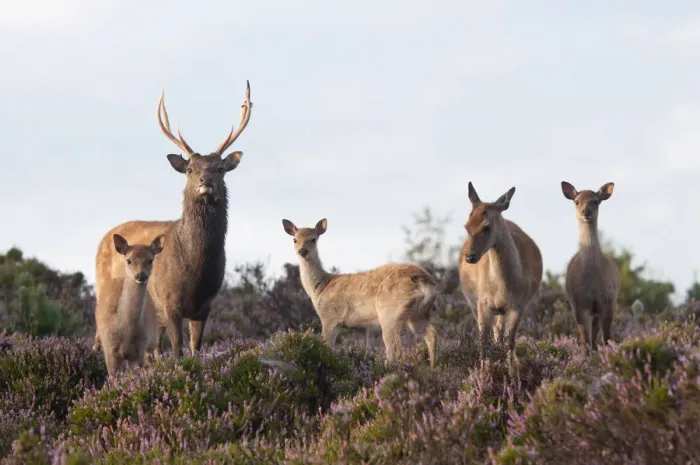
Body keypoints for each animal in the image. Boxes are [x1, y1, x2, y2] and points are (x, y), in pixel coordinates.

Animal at [93, 81, 252, 358]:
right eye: (190, 169)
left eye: (220, 169)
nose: (205, 181)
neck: (196, 272)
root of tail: (103, 239)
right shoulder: (169, 303)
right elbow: (177, 350)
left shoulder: (205, 306)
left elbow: (195, 350)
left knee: (152, 349)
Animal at [95, 234, 165, 377]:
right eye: (128, 260)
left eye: (151, 260)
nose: (141, 275)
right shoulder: (109, 349)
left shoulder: (140, 349)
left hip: (151, 341)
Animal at [281, 218, 439, 368]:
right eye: (294, 239)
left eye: (313, 239)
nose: (302, 251)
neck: (320, 287)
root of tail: (423, 280)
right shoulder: (360, 326)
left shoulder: (330, 317)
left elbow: (327, 346)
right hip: (418, 314)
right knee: (431, 335)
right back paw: (432, 369)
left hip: (390, 312)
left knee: (395, 350)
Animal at [458, 182, 543, 359]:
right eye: (466, 225)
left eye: (486, 226)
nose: (470, 257)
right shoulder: (483, 304)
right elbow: (484, 343)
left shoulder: (517, 306)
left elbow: (510, 343)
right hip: (474, 304)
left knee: (499, 336)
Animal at [561, 181, 621, 356]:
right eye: (576, 201)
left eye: (596, 201)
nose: (585, 212)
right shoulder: (579, 304)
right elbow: (584, 342)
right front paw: (586, 359)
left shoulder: (608, 301)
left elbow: (606, 340)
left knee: (596, 338)